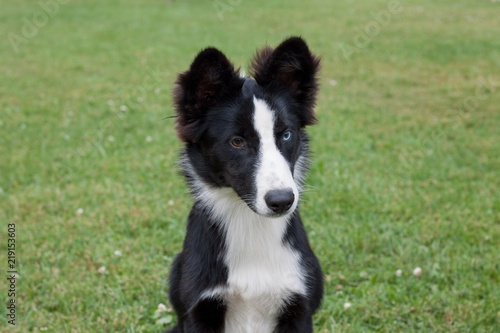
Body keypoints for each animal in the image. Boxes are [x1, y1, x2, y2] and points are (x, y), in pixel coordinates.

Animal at [168, 37, 324, 332]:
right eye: (237, 141)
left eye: (286, 134)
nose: (281, 201)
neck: (250, 224)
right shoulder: (198, 311)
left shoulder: (299, 307)